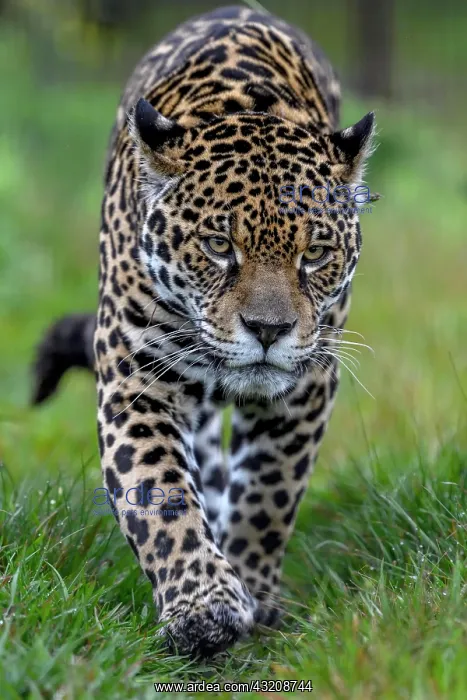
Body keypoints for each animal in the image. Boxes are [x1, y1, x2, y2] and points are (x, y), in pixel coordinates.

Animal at [32, 5, 376, 658]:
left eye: (316, 254)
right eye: (219, 246)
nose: (269, 329)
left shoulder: (304, 390)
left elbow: (269, 494)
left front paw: (253, 592)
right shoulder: (137, 381)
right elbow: (158, 492)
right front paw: (204, 608)